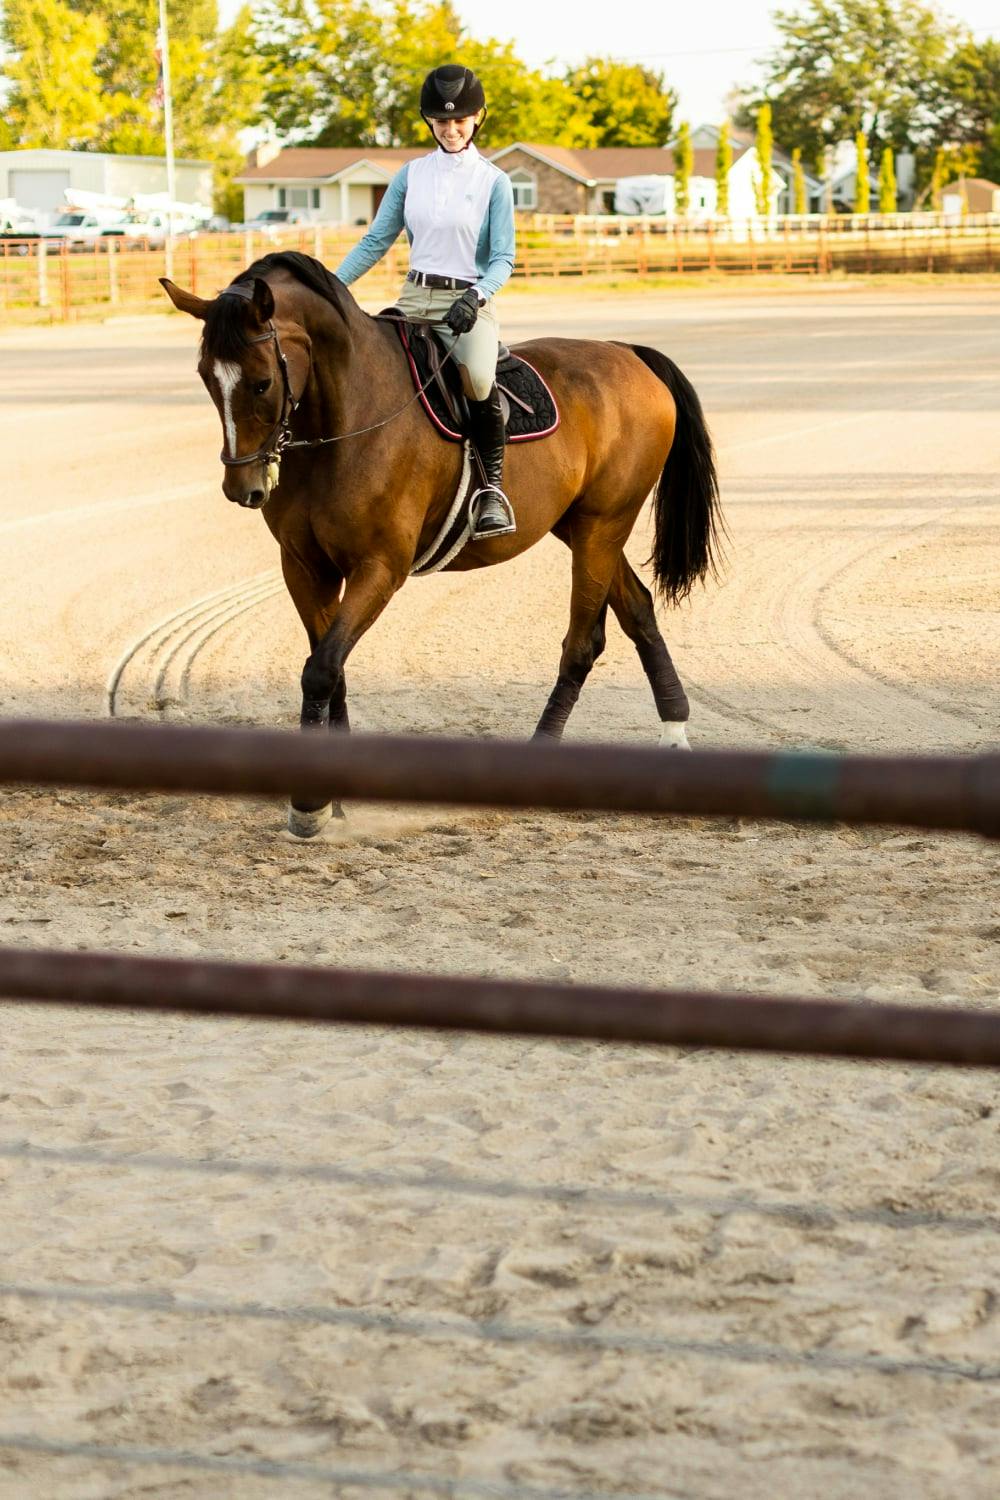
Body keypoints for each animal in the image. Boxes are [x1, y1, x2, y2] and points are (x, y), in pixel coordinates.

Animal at [160, 252, 721, 837]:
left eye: (263, 382)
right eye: (205, 377)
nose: (242, 488)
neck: (348, 415)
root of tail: (625, 352)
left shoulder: (380, 567)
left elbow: (321, 669)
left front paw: (310, 805)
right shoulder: (305, 568)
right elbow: (331, 669)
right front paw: (334, 796)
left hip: (602, 525)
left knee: (583, 644)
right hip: (582, 528)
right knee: (639, 609)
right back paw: (674, 733)